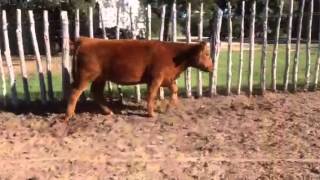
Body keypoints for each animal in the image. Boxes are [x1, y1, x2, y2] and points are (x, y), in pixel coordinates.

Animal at [64, 37, 212, 122]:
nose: (211, 67)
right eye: (206, 54)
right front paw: (151, 114)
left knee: (96, 92)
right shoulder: (156, 77)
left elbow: (173, 89)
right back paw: (69, 115)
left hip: (100, 78)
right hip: (86, 75)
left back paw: (108, 111)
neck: (173, 55)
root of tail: (86, 40)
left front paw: (169, 107)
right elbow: (151, 93)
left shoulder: (168, 78)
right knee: (75, 92)